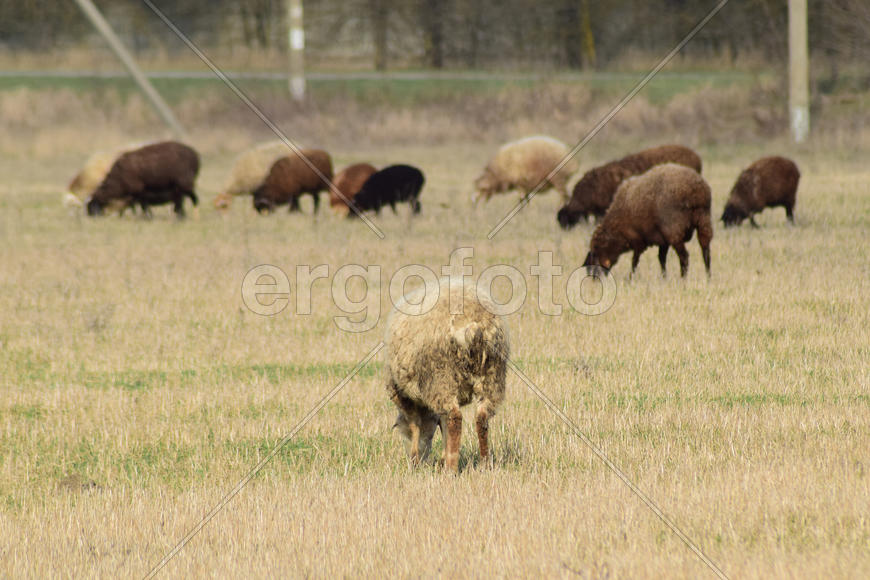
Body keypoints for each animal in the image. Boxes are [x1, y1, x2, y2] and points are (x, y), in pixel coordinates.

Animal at [386, 279, 509, 473]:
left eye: (402, 433)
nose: (418, 462)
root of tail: (473, 325)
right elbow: (442, 426)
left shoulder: (404, 396)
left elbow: (416, 425)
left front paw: (417, 460)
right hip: (492, 376)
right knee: (481, 417)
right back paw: (484, 464)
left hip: (442, 376)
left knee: (455, 417)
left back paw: (451, 469)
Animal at [583, 163, 713, 278]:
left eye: (596, 250)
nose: (594, 278)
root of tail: (696, 192)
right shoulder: (662, 240)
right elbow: (661, 259)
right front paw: (664, 277)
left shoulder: (638, 239)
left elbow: (635, 261)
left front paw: (630, 278)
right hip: (704, 221)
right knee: (706, 252)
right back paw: (708, 277)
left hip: (675, 230)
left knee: (685, 256)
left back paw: (683, 279)